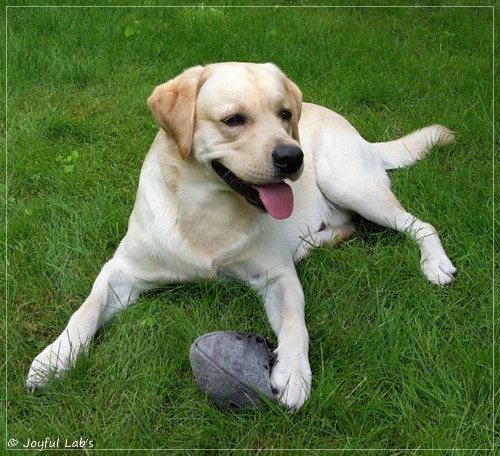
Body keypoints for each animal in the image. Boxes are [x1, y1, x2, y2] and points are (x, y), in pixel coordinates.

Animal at [27, 62, 458, 412]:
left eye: (285, 114)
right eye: (233, 120)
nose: (293, 156)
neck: (208, 212)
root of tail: (360, 136)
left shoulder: (277, 278)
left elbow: (294, 323)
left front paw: (294, 373)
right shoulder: (122, 270)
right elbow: (85, 310)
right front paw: (54, 358)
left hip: (349, 183)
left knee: (419, 224)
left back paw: (435, 263)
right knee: (346, 227)